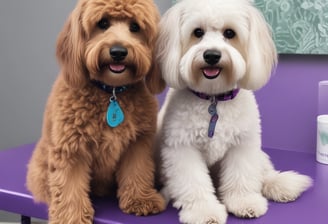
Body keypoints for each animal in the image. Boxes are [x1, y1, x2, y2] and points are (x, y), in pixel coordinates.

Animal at [26, 0, 167, 222]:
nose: (118, 51)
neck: (111, 92)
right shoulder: (71, 149)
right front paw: (71, 216)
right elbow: (70, 187)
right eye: (103, 23)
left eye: (135, 27)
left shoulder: (138, 144)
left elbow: (137, 171)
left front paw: (140, 200)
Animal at [156, 0, 312, 224]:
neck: (213, 98)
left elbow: (242, 176)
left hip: (259, 156)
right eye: (197, 32)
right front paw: (204, 212)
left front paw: (244, 202)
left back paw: (280, 185)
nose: (212, 55)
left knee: (264, 172)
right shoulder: (182, 148)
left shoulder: (242, 145)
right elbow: (194, 183)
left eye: (230, 33)